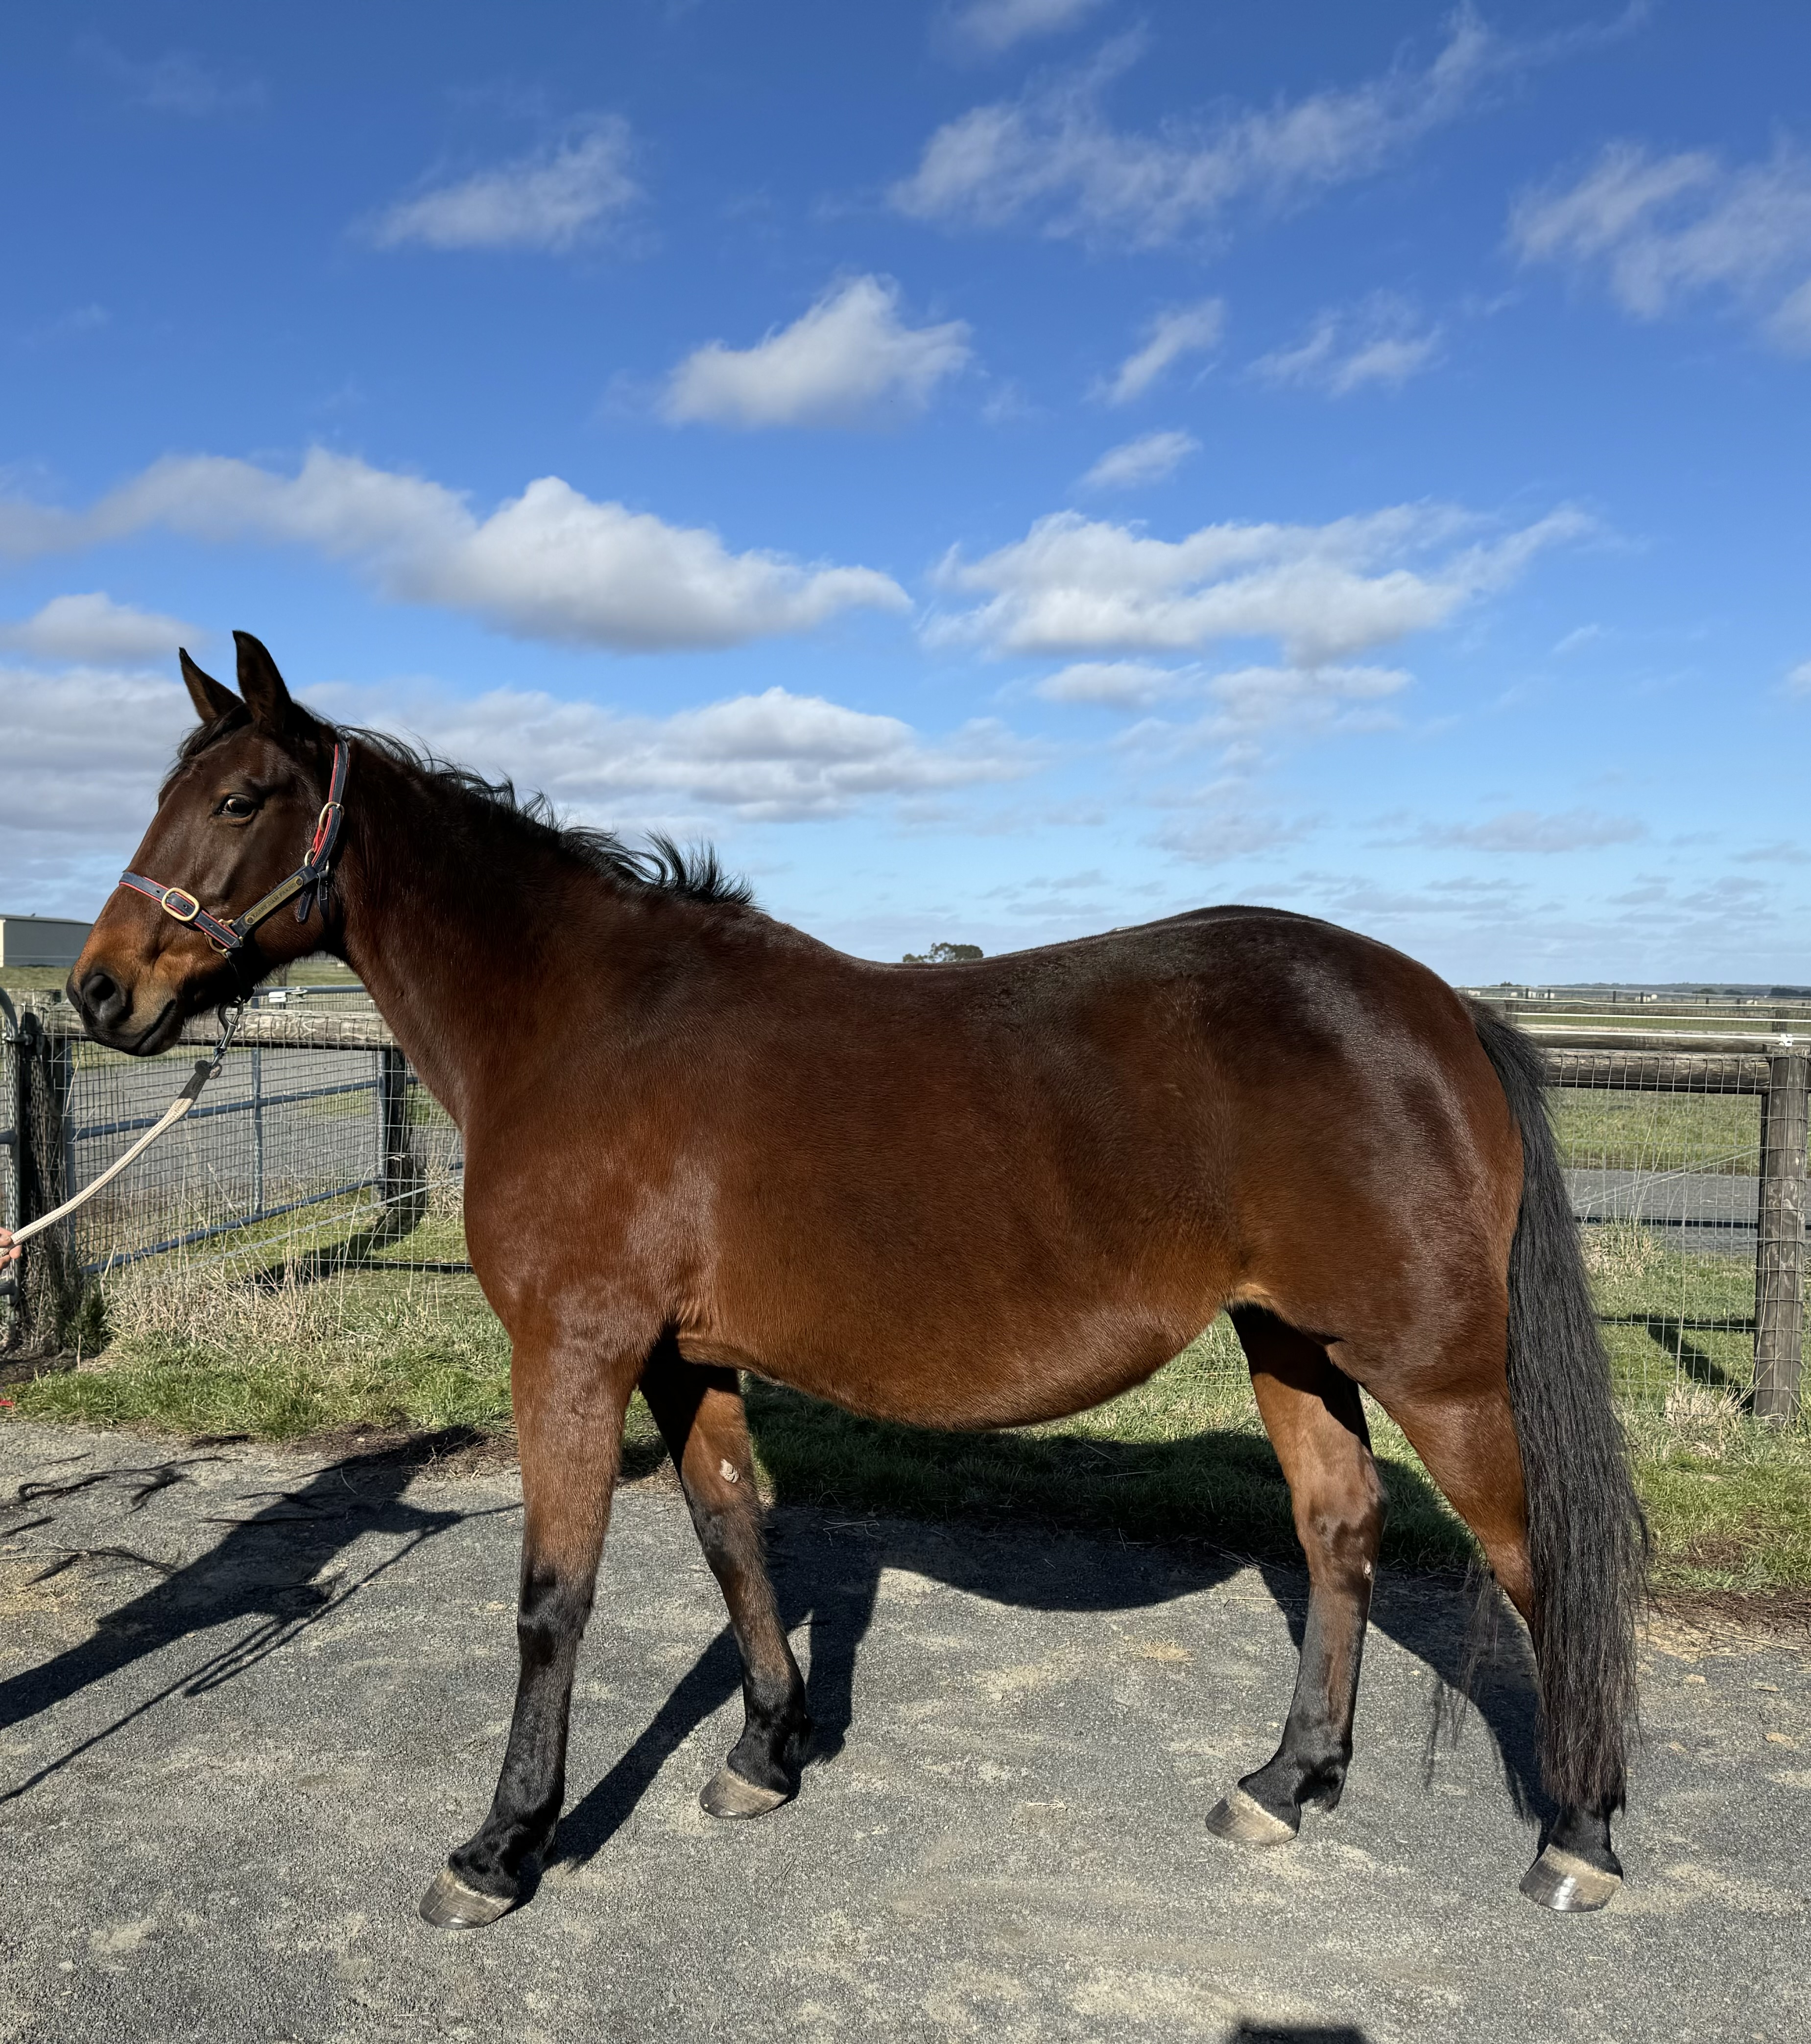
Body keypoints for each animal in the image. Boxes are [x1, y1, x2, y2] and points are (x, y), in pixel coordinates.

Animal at [67, 632, 1647, 1927]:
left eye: (239, 800)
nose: (98, 990)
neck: (581, 1023)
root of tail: (1439, 1005)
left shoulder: (572, 1351)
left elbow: (551, 1596)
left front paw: (503, 1845)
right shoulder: (681, 1355)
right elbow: (730, 1536)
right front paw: (765, 1751)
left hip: (1437, 1367)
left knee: (1536, 1562)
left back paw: (1577, 1834)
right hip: (1291, 1343)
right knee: (1337, 1530)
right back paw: (1285, 1780)